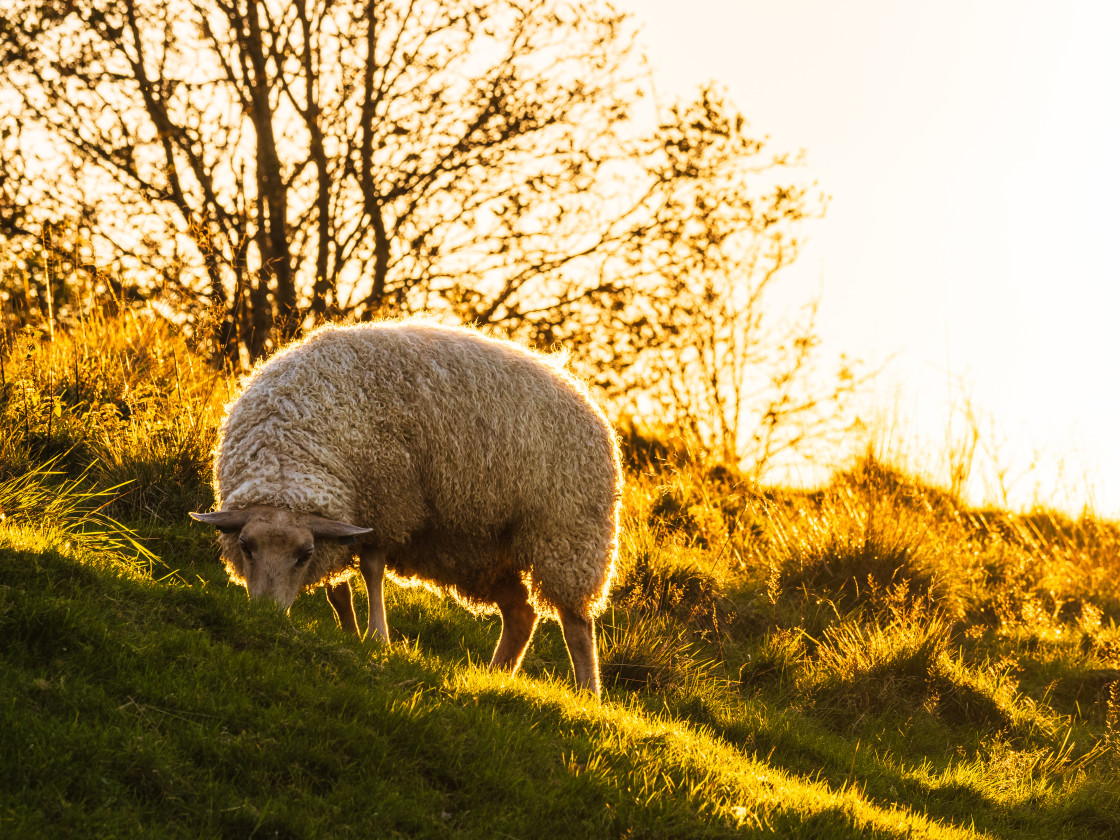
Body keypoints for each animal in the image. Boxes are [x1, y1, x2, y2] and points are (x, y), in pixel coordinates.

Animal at [187, 322, 618, 698]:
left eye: (303, 555)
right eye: (246, 547)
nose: (267, 616)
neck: (287, 449)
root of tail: (586, 398)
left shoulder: (386, 502)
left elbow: (372, 569)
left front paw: (377, 637)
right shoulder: (345, 513)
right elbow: (338, 589)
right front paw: (349, 633)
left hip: (567, 534)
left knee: (576, 624)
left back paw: (587, 693)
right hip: (481, 548)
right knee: (521, 612)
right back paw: (496, 676)